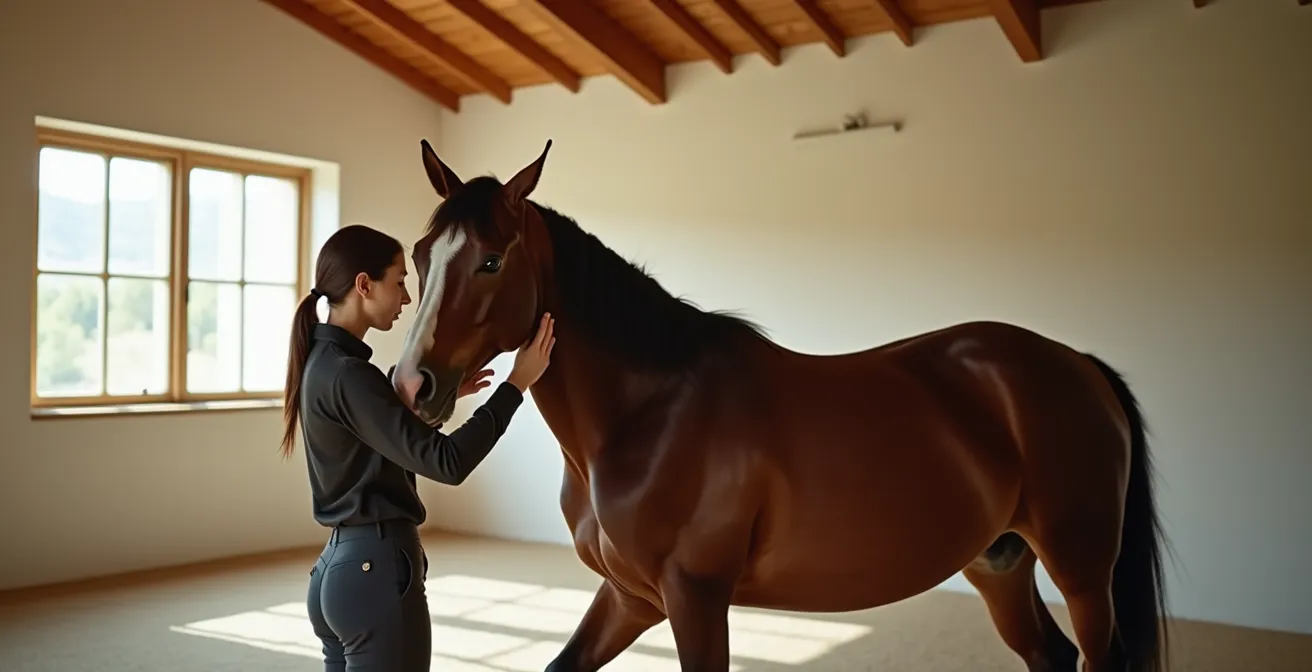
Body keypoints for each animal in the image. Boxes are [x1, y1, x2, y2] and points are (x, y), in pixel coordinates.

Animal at [387, 138, 1172, 672]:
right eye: (422, 256)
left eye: (491, 260)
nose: (414, 385)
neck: (647, 416)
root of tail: (1079, 365)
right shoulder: (632, 598)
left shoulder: (696, 597)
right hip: (1001, 564)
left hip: (1082, 568)